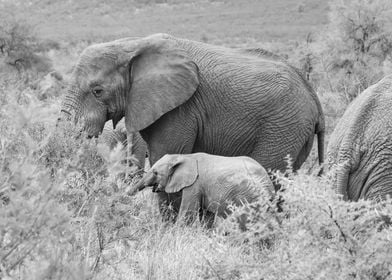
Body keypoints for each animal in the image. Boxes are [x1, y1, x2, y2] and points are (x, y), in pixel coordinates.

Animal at [61, 32, 324, 215]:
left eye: (97, 91)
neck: (133, 44)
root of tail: (314, 98)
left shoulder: (180, 109)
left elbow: (165, 157)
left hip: (283, 128)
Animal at [127, 152, 274, 226]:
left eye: (155, 172)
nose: (127, 194)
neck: (184, 156)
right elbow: (207, 216)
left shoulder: (194, 184)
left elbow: (188, 214)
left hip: (248, 194)